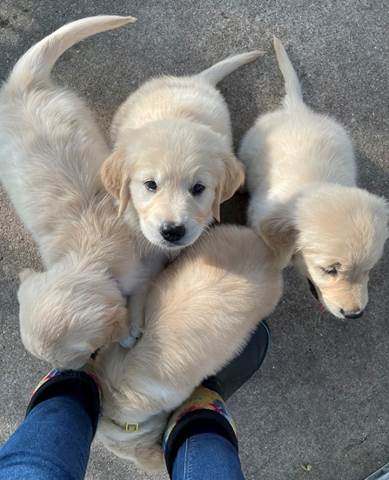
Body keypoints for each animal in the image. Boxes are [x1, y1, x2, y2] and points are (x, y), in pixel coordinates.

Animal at [0, 15, 147, 368]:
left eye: (84, 355)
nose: (64, 374)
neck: (88, 254)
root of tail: (21, 86)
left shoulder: (139, 265)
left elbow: (137, 294)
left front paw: (129, 328)